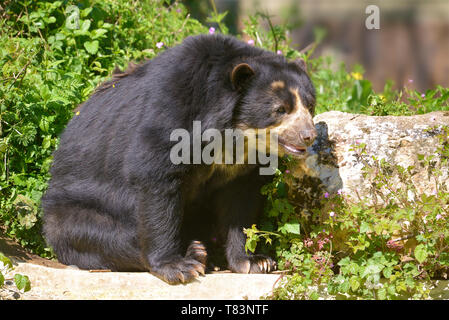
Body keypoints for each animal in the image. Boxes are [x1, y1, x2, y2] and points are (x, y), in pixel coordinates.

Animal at [41, 34, 316, 284]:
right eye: (280, 109)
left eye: (310, 105)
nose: (308, 135)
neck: (232, 135)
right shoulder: (172, 110)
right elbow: (157, 177)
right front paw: (177, 267)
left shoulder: (242, 167)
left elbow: (240, 202)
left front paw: (254, 261)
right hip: (72, 211)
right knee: (105, 236)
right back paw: (195, 252)